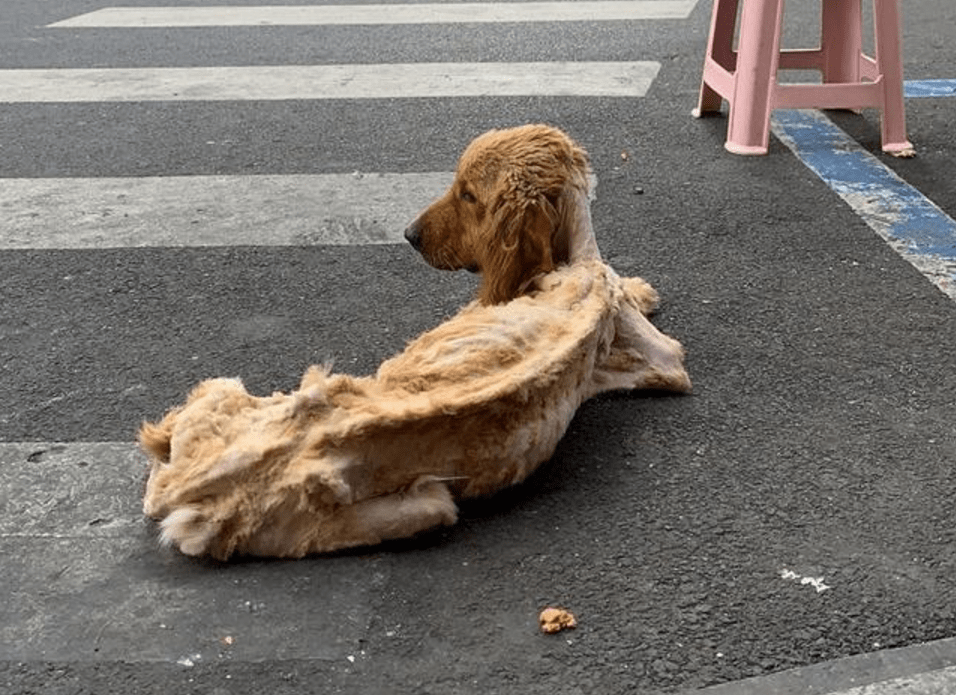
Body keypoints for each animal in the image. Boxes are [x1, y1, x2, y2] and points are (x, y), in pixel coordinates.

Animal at [138, 123, 692, 560]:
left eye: (469, 194)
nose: (407, 234)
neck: (572, 261)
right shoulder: (654, 359)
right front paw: (639, 289)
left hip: (225, 397)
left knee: (157, 465)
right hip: (420, 507)